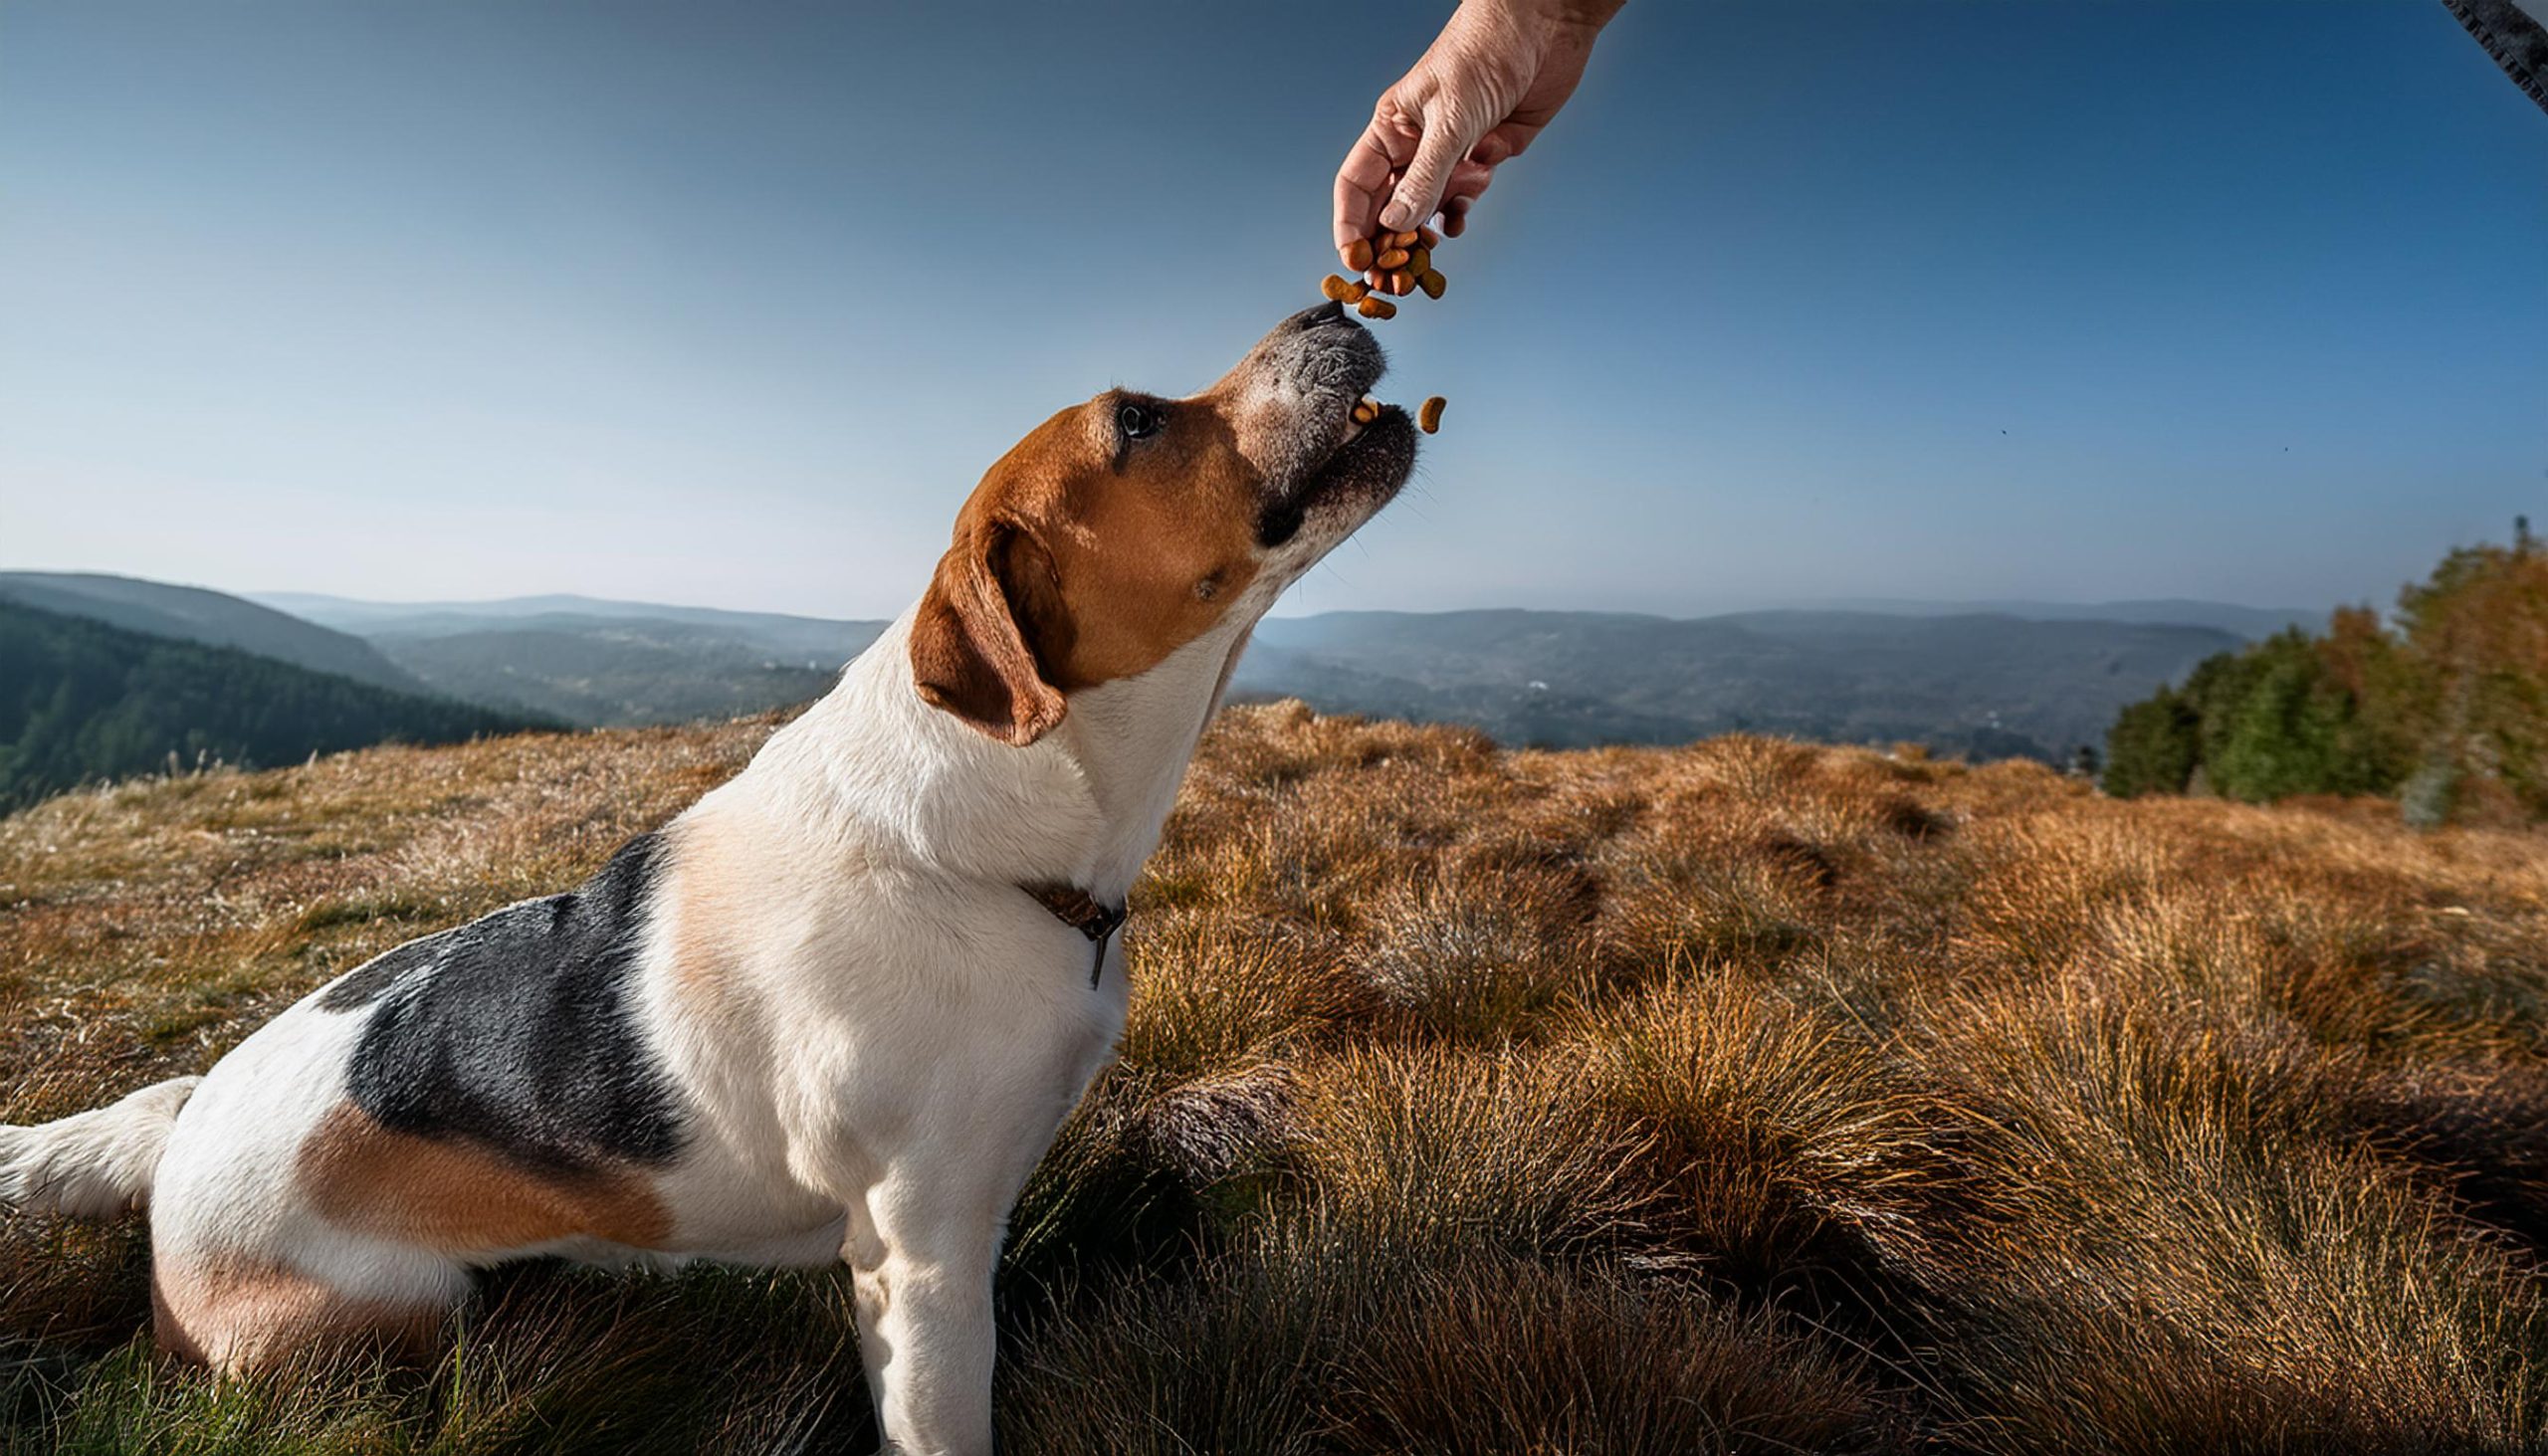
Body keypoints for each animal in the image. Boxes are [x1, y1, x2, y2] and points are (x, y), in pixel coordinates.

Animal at [0, 302, 1416, 1448]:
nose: (1328, 305)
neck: (974, 845)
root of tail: (178, 1131)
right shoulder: (923, 1258)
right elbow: (941, 1422)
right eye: (1135, 421)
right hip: (381, 1321)